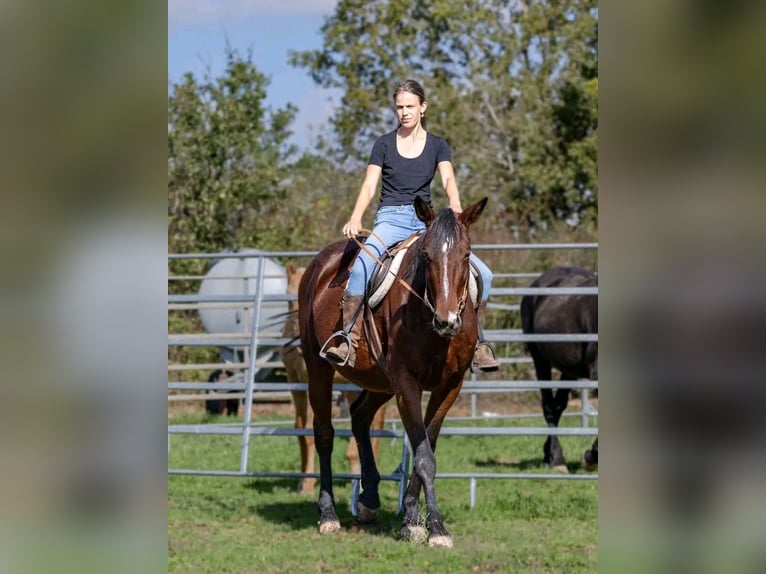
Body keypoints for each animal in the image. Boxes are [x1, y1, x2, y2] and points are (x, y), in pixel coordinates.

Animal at [298, 197, 486, 548]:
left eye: (467, 255)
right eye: (426, 255)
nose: (447, 320)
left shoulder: (449, 387)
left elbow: (426, 446)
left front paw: (412, 518)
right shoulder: (407, 383)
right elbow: (424, 456)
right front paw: (435, 528)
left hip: (380, 382)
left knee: (359, 417)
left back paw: (369, 499)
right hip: (318, 370)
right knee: (324, 433)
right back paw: (328, 514)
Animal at [520, 266, 600, 472]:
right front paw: (590, 458)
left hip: (569, 369)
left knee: (557, 406)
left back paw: (547, 456)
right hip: (540, 359)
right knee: (549, 406)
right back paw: (557, 460)